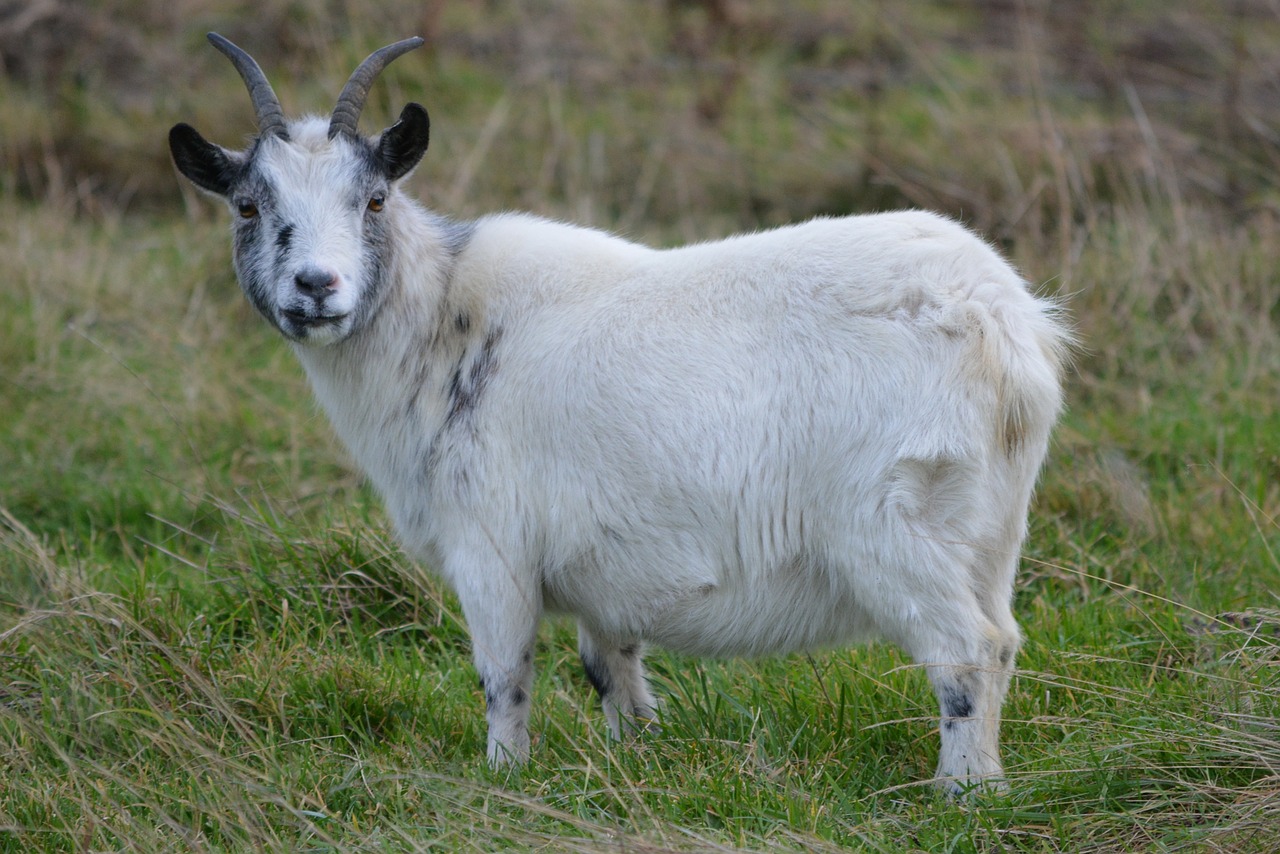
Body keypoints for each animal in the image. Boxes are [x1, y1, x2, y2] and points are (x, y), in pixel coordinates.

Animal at [170, 33, 1070, 793]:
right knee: (1004, 639)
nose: (316, 286)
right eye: (248, 206)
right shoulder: (608, 575)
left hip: (894, 522)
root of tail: (1005, 326)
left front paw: (505, 779)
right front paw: (635, 760)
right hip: (991, 531)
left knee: (968, 650)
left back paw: (961, 792)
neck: (445, 322)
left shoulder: (491, 548)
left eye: (376, 200)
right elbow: (613, 674)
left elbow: (504, 677)